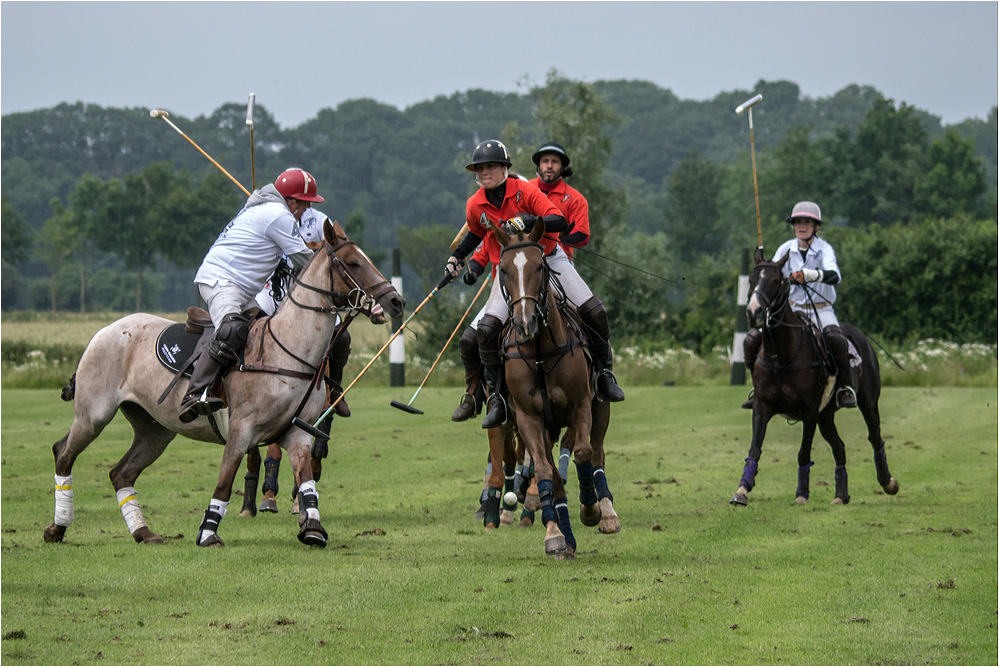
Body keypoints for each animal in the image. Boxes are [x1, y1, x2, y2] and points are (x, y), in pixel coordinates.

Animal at [46, 219, 406, 548]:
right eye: (354, 262)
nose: (396, 302)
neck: (289, 351)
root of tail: (104, 330)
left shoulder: (299, 434)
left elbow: (307, 481)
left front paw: (313, 528)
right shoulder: (241, 430)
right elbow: (224, 481)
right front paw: (207, 534)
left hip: (154, 429)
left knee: (121, 472)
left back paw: (143, 532)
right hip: (94, 413)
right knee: (63, 452)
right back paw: (57, 528)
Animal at [732, 249, 904, 506]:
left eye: (777, 281)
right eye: (751, 280)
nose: (754, 312)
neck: (781, 357)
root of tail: (860, 337)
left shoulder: (809, 411)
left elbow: (803, 453)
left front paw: (802, 495)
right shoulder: (762, 406)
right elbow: (754, 448)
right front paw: (742, 490)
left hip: (867, 401)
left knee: (875, 437)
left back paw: (888, 482)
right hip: (826, 416)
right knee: (840, 447)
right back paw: (841, 495)